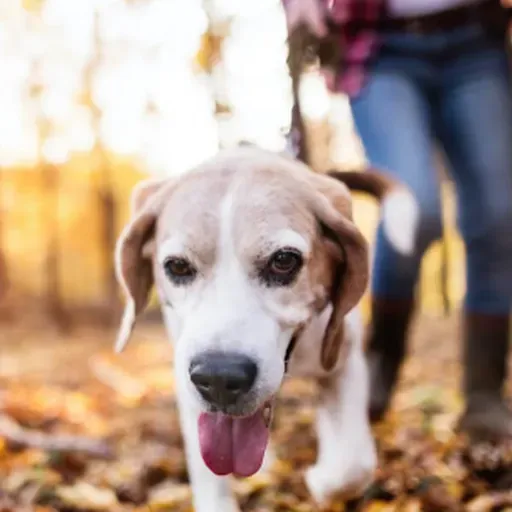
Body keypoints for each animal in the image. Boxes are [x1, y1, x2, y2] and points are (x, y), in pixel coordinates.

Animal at [114, 144, 418, 512]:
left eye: (284, 261)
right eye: (178, 266)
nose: (219, 377)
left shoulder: (343, 361)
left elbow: (352, 466)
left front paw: (321, 481)